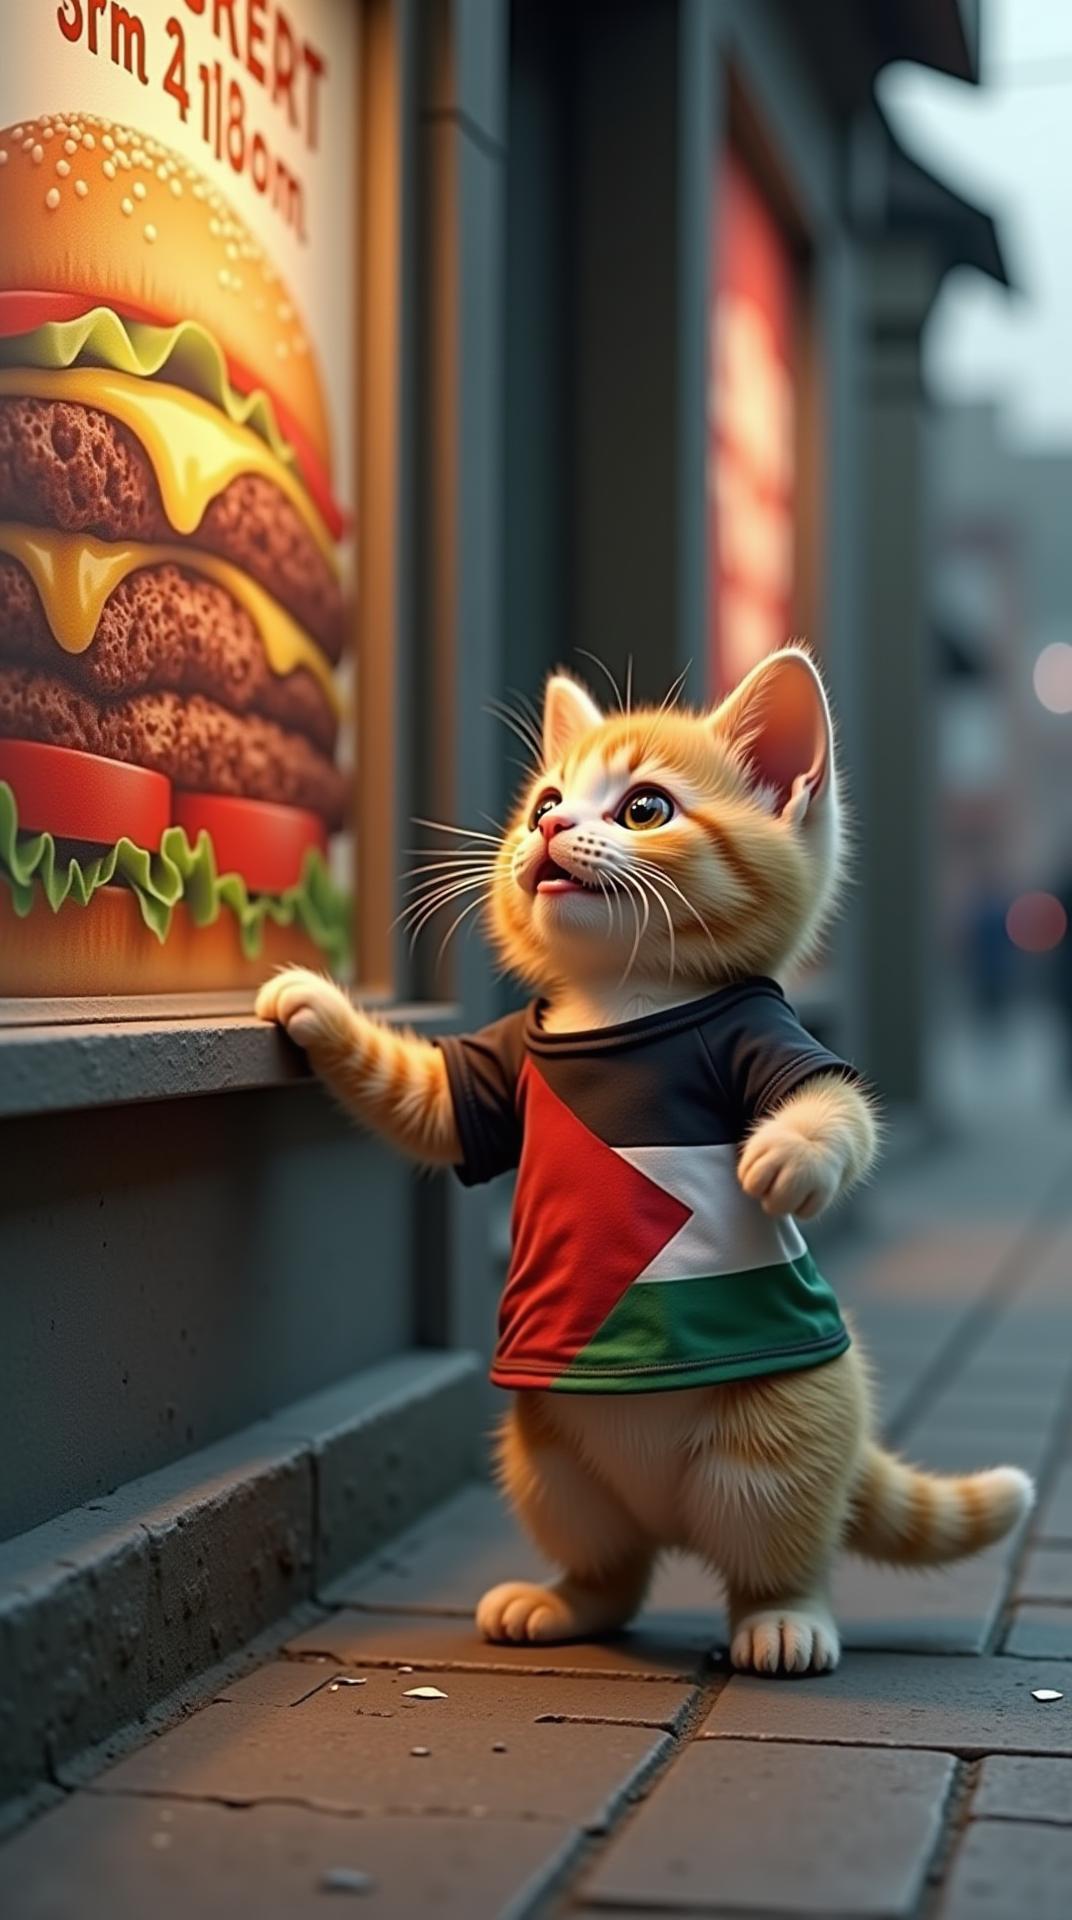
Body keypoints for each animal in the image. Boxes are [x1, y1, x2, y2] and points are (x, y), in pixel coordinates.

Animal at [255, 652, 1037, 1674]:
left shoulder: (766, 1034)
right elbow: (421, 1100)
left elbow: (835, 1109)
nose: (548, 827)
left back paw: (784, 1617)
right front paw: (317, 1007)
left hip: (779, 1438)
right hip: (550, 1457)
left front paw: (788, 1155)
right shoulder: (498, 1063)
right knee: (614, 1565)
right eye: (547, 798)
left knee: (779, 1541)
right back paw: (570, 1598)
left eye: (644, 809)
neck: (623, 998)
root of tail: (670, 1516)